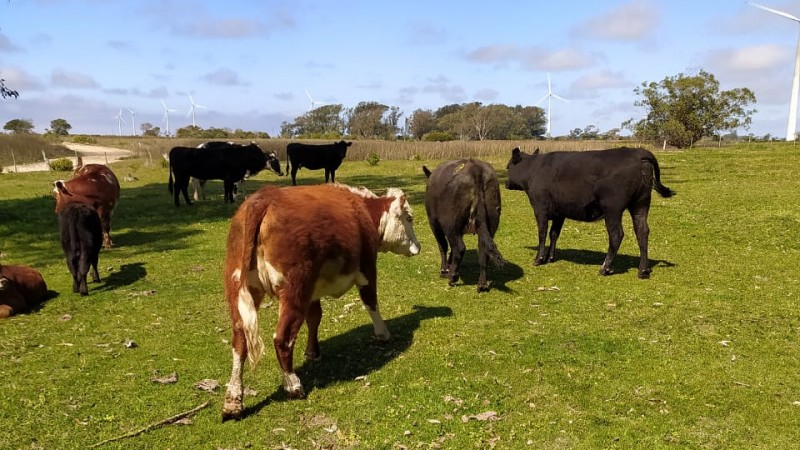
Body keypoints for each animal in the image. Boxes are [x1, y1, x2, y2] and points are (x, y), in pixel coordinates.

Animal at [219, 183, 418, 422]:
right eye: (409, 218)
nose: (417, 246)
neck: (362, 210)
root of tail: (265, 196)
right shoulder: (367, 267)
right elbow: (371, 301)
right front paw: (383, 334)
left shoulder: (313, 293)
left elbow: (315, 317)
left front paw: (313, 352)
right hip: (295, 289)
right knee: (282, 338)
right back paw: (293, 386)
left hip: (238, 288)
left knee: (240, 340)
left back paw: (233, 401)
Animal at [422, 158, 504, 292]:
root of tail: (475, 168)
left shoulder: (434, 223)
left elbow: (443, 246)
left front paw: (444, 269)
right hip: (491, 222)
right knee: (483, 250)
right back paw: (482, 284)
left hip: (450, 224)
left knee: (459, 247)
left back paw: (452, 276)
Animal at [506, 147, 676, 278]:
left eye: (508, 167)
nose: (506, 184)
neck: (534, 169)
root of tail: (637, 152)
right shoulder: (560, 212)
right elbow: (554, 234)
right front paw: (551, 257)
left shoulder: (540, 207)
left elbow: (542, 233)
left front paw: (539, 259)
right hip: (641, 204)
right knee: (642, 232)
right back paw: (643, 270)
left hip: (612, 209)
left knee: (616, 235)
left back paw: (605, 268)